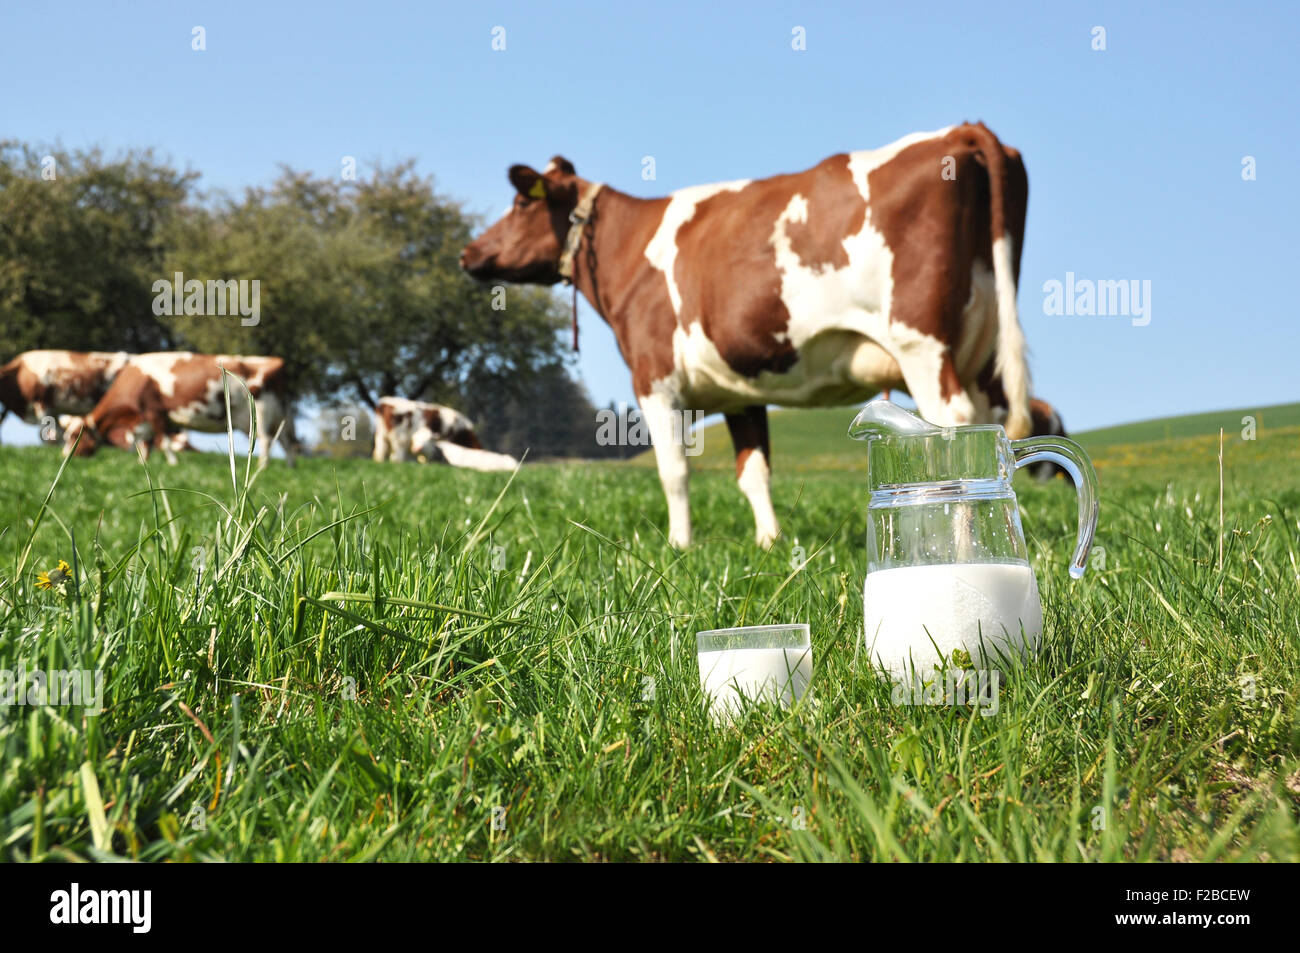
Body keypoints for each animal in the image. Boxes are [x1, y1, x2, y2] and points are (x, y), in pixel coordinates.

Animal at [64, 353, 297, 465]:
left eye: (76, 436)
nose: (66, 456)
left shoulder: (156, 412)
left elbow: (163, 441)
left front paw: (173, 463)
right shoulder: (146, 419)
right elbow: (145, 441)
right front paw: (143, 462)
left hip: (261, 412)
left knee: (266, 440)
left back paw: (262, 466)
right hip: (279, 415)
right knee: (286, 441)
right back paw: (290, 466)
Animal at [457, 122, 1045, 546]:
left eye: (521, 203)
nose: (468, 253)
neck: (631, 249)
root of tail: (962, 130)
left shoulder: (653, 378)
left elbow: (673, 470)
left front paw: (679, 546)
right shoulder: (740, 392)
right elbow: (754, 472)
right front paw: (770, 543)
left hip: (921, 344)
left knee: (954, 428)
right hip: (983, 349)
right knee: (990, 422)